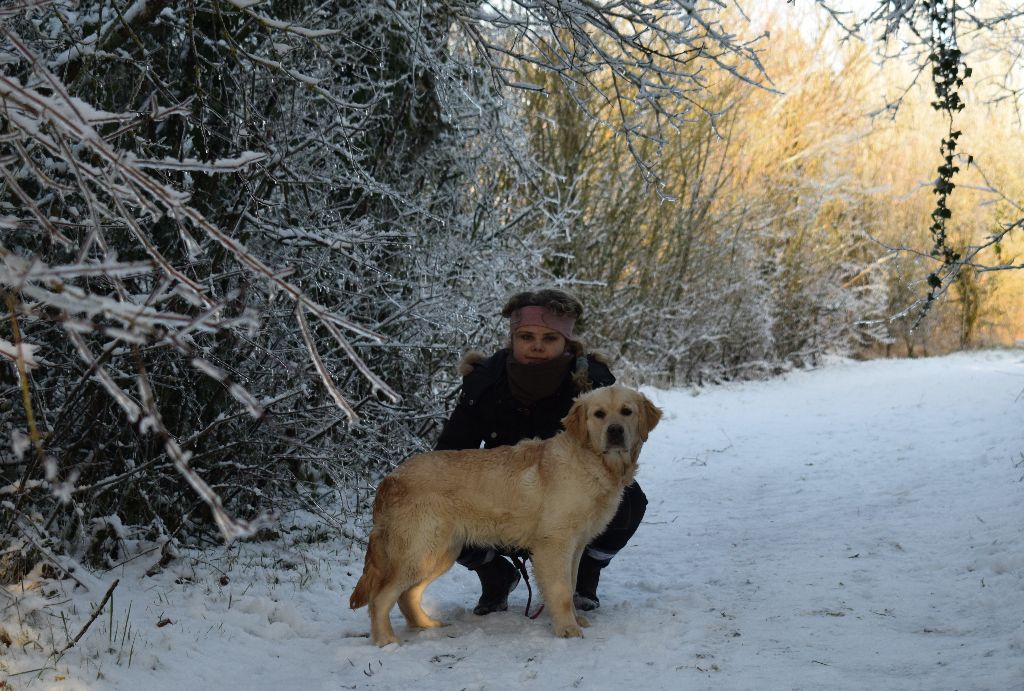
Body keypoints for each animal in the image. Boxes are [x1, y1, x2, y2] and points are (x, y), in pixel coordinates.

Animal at [348, 386, 659, 646]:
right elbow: (560, 590)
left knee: (407, 596)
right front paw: (567, 629)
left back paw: (428, 625)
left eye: (627, 411)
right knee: (381, 598)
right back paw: (386, 641)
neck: (591, 463)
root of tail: (391, 478)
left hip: (440, 553)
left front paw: (575, 619)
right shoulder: (555, 544)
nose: (615, 431)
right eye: (599, 414)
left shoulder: (577, 545)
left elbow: (570, 587)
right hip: (421, 550)